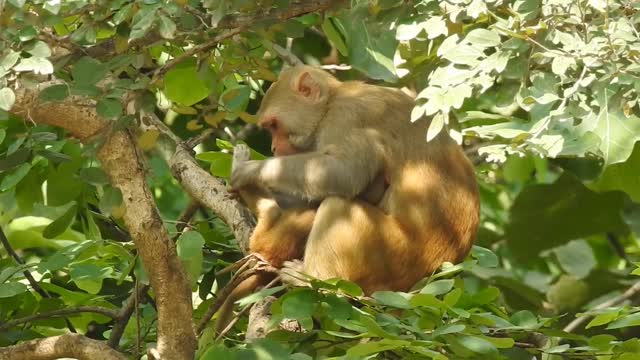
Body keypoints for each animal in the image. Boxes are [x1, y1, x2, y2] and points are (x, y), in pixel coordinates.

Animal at [218, 66, 478, 330]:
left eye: (274, 125)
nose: (273, 148)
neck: (332, 102)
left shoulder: (347, 120)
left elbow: (343, 173)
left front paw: (249, 171)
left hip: (395, 255)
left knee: (338, 205)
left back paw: (315, 279)